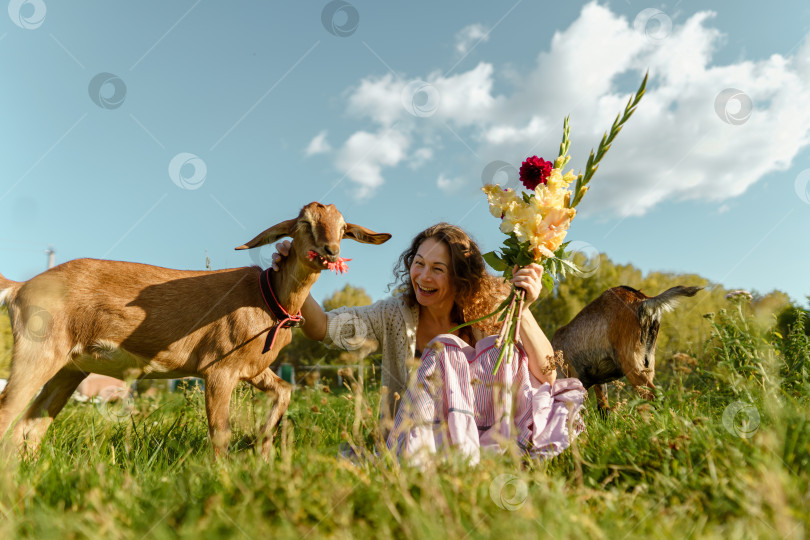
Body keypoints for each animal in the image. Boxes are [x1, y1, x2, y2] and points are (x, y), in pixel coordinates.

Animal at [0, 202, 392, 456]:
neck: (268, 300)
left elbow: (284, 391)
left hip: (70, 367)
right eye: (305, 223)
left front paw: (262, 449)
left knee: (29, 428)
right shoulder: (218, 368)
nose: (330, 251)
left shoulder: (253, 369)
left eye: (343, 228)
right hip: (39, 351)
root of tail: (19, 288)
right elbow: (220, 432)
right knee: (8, 413)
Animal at [548, 286, 700, 410]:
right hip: (648, 361)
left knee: (653, 396)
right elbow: (604, 409)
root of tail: (644, 300)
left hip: (630, 361)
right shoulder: (599, 382)